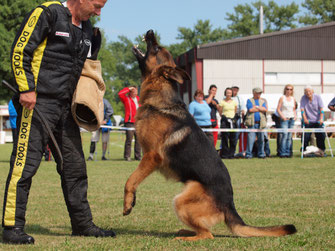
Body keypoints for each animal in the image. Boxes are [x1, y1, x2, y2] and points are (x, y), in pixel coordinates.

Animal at [124, 30, 296, 240]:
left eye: (156, 48)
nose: (150, 32)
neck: (160, 98)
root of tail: (229, 205)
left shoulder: (151, 157)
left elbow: (130, 180)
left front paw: (127, 203)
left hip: (180, 200)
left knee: (207, 234)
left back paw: (185, 237)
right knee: (204, 230)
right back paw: (184, 231)